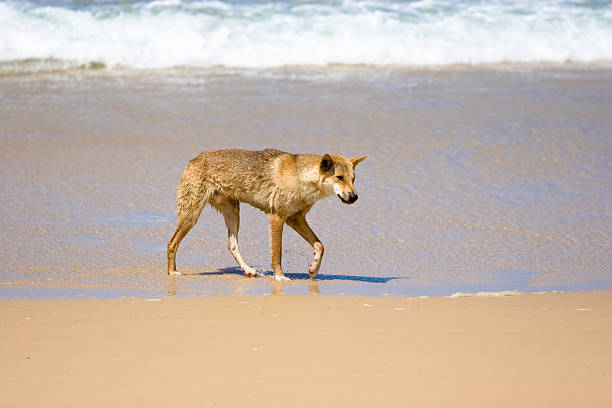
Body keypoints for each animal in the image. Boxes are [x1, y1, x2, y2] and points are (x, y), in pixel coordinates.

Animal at [166, 149, 368, 280]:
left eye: (353, 179)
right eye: (339, 178)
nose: (354, 197)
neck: (301, 177)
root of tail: (194, 159)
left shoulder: (295, 219)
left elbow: (320, 245)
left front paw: (313, 269)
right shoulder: (277, 217)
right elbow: (277, 254)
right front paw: (280, 277)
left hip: (233, 213)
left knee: (232, 245)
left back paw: (248, 270)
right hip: (191, 216)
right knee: (171, 243)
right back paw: (172, 272)